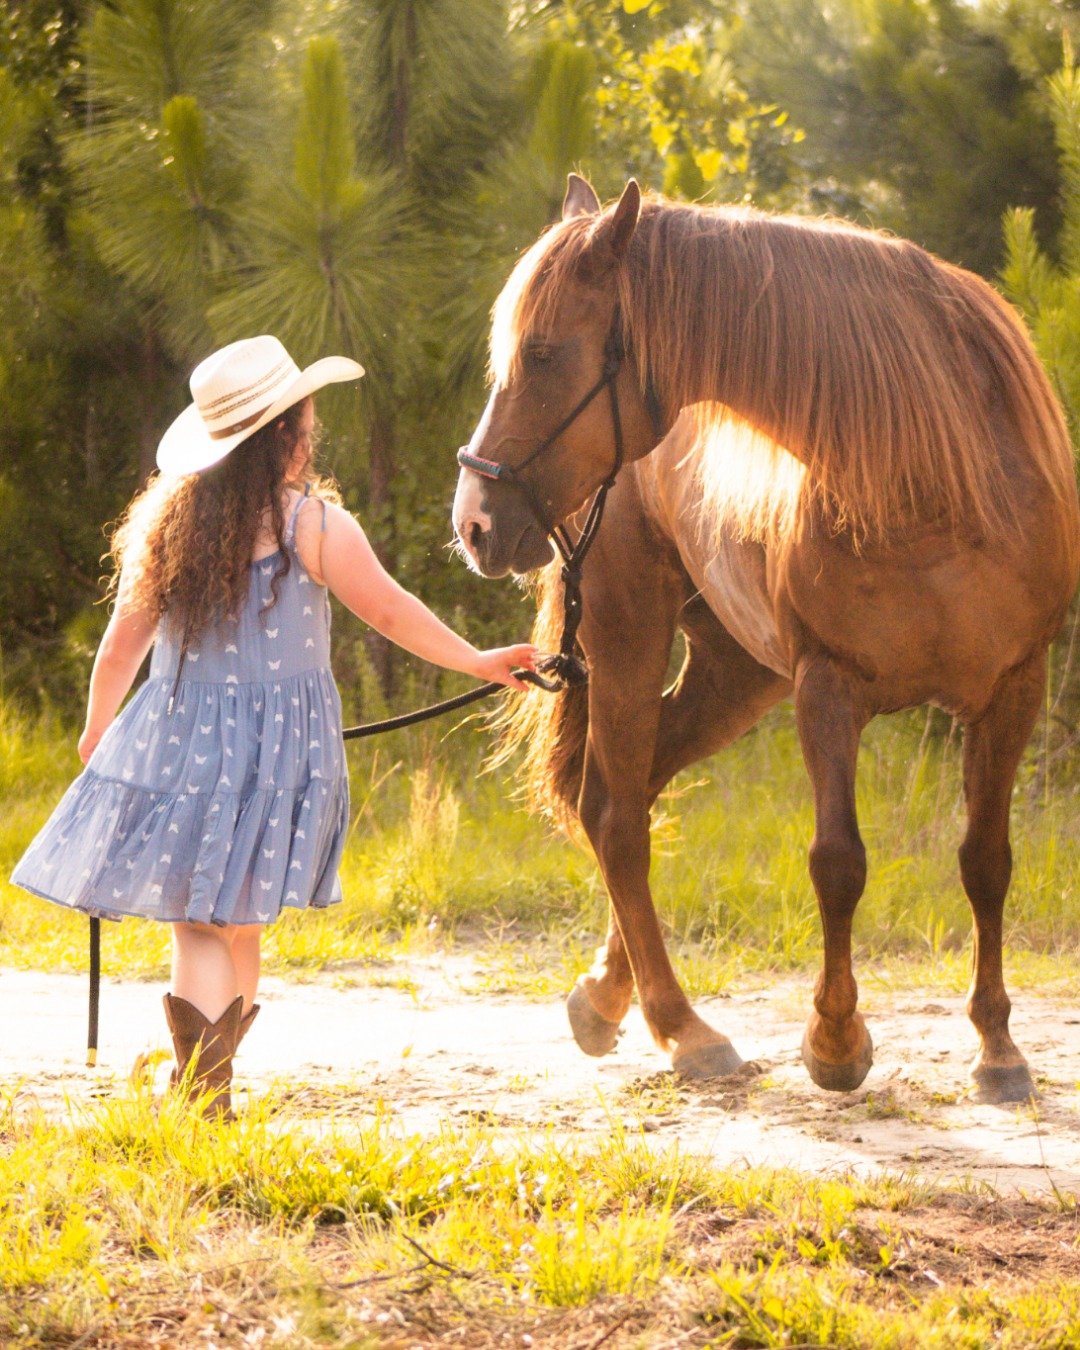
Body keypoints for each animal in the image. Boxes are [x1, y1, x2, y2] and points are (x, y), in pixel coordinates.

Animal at [452, 174, 1080, 1103]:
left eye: (543, 354)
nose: (475, 523)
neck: (936, 477)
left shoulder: (1013, 691)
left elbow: (986, 861)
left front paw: (998, 1049)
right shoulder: (827, 689)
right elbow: (839, 862)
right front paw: (836, 1041)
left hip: (736, 675)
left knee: (637, 787)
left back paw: (607, 996)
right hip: (632, 635)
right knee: (615, 817)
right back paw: (682, 1029)